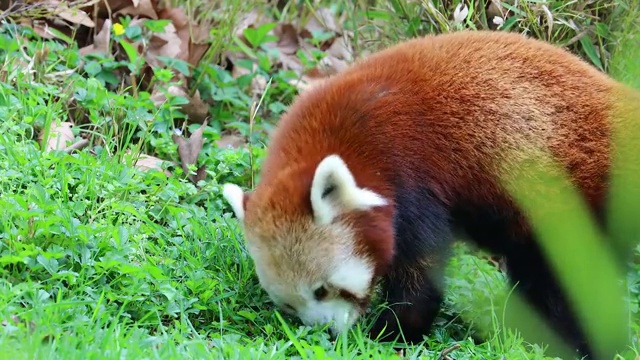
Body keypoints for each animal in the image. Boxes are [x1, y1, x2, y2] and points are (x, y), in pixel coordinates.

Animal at [221, 30, 640, 358]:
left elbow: (420, 273)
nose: (327, 332)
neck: (348, 146)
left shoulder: (412, 176)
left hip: (581, 190)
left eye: (323, 290)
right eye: (289, 305)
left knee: (575, 278)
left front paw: (392, 332)